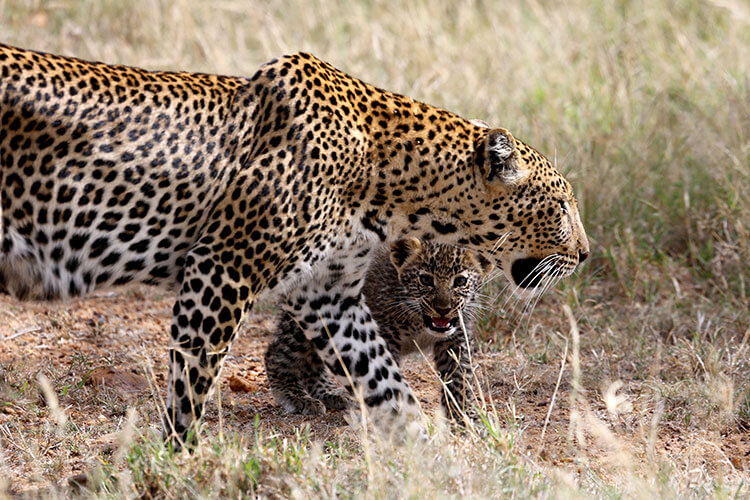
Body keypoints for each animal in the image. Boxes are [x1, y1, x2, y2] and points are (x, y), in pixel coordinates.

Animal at [268, 238, 496, 422]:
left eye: (460, 281)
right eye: (425, 279)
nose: (443, 308)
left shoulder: (456, 337)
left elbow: (459, 378)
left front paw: (464, 416)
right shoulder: (385, 336)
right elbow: (384, 374)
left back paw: (330, 393)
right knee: (276, 352)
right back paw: (295, 397)